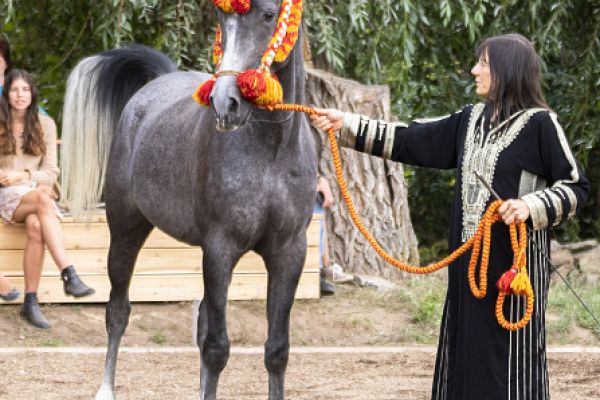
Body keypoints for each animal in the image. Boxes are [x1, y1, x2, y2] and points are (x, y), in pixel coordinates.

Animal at [60, 1, 316, 399]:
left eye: (270, 14)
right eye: (221, 18)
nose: (226, 103)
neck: (271, 153)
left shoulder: (289, 252)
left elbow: (276, 350)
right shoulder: (221, 248)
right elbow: (217, 348)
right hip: (126, 230)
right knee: (118, 311)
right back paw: (105, 388)